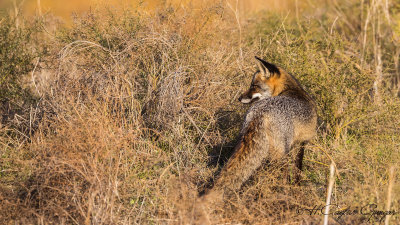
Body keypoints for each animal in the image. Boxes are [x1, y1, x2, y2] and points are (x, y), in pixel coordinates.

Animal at [203, 56, 316, 202]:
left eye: (254, 86)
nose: (239, 98)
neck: (290, 90)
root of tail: (260, 112)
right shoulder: (301, 143)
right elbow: (298, 171)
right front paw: (297, 189)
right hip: (282, 153)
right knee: (282, 175)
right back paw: (283, 194)